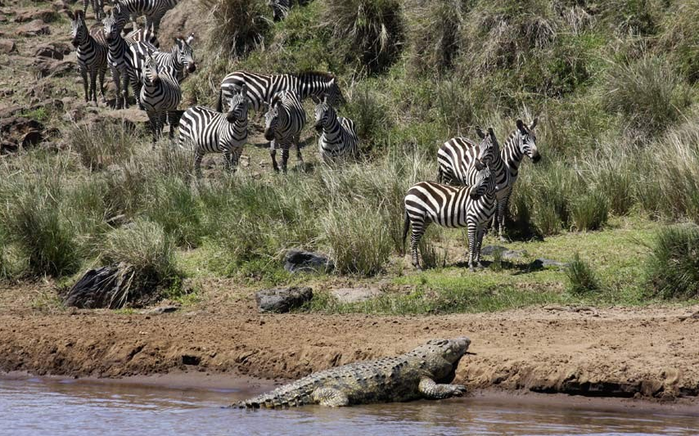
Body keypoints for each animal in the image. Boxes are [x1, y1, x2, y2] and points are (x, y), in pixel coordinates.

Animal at [402, 129, 500, 270]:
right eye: (476, 179)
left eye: (486, 179)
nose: (472, 195)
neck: (487, 201)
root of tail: (410, 189)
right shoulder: (471, 220)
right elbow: (472, 242)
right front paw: (471, 265)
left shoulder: (483, 223)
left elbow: (479, 242)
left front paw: (478, 263)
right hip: (417, 216)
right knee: (413, 240)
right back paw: (417, 266)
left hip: (424, 219)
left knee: (415, 239)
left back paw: (416, 264)